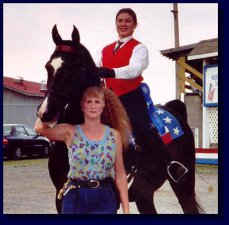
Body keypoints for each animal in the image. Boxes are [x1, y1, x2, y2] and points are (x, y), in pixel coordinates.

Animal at [39, 25, 204, 214]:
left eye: (75, 66)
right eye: (48, 66)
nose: (46, 112)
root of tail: (174, 111)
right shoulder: (60, 196)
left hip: (183, 187)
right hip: (144, 195)